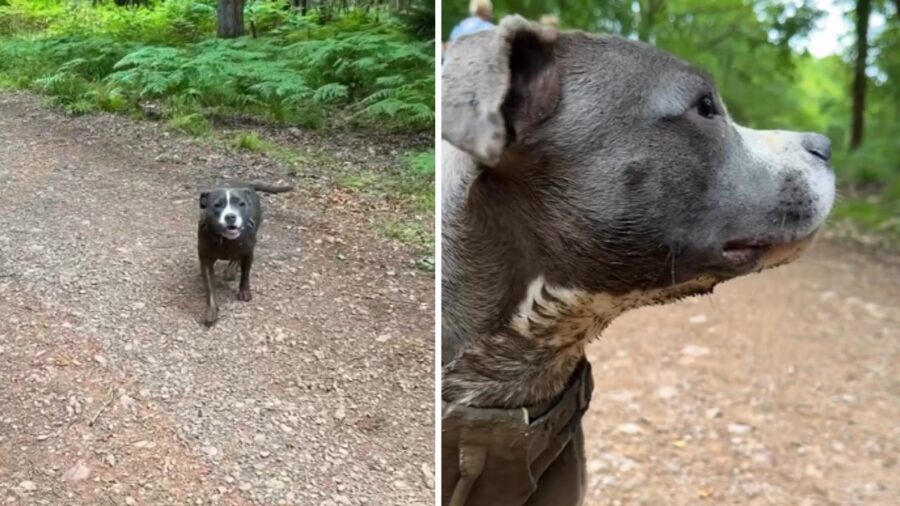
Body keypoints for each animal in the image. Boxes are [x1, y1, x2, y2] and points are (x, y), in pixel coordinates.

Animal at [197, 180, 292, 326]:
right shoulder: (205, 259)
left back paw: (231, 270)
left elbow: (245, 274)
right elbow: (210, 287)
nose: (230, 216)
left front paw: (244, 292)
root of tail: (249, 184)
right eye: (217, 205)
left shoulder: (248, 254)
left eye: (241, 204)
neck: (225, 240)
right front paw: (211, 310)